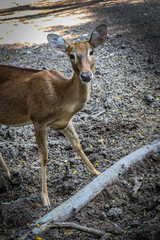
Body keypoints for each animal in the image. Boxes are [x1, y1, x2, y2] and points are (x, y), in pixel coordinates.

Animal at [0, 23, 107, 206]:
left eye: (92, 51)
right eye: (71, 55)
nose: (86, 75)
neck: (60, 98)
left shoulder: (64, 122)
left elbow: (77, 144)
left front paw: (96, 172)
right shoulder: (38, 119)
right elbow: (44, 156)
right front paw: (45, 198)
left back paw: (9, 175)